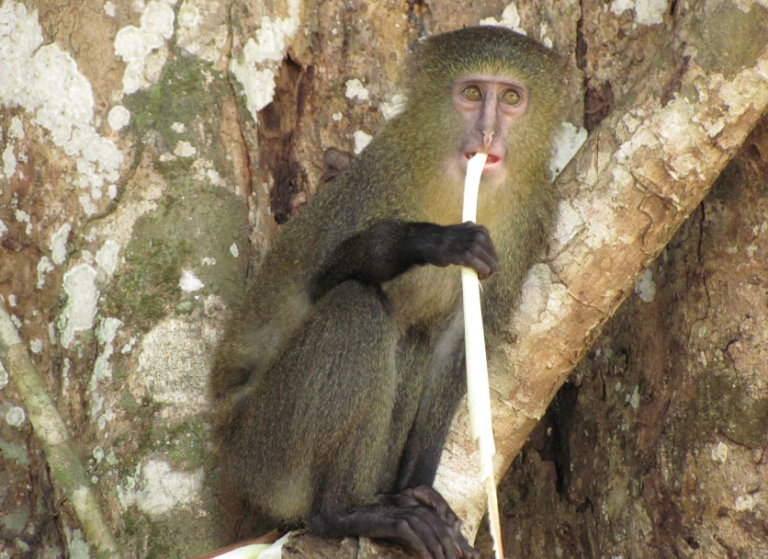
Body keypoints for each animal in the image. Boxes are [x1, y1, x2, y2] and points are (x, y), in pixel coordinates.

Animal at [210, 26, 566, 559]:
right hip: (262, 454)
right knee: (355, 307)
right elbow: (321, 281)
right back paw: (341, 512)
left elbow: (458, 344)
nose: (487, 135)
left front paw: (418, 488)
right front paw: (426, 241)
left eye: (510, 98)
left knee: (411, 337)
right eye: (471, 94)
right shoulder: (382, 172)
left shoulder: (530, 220)